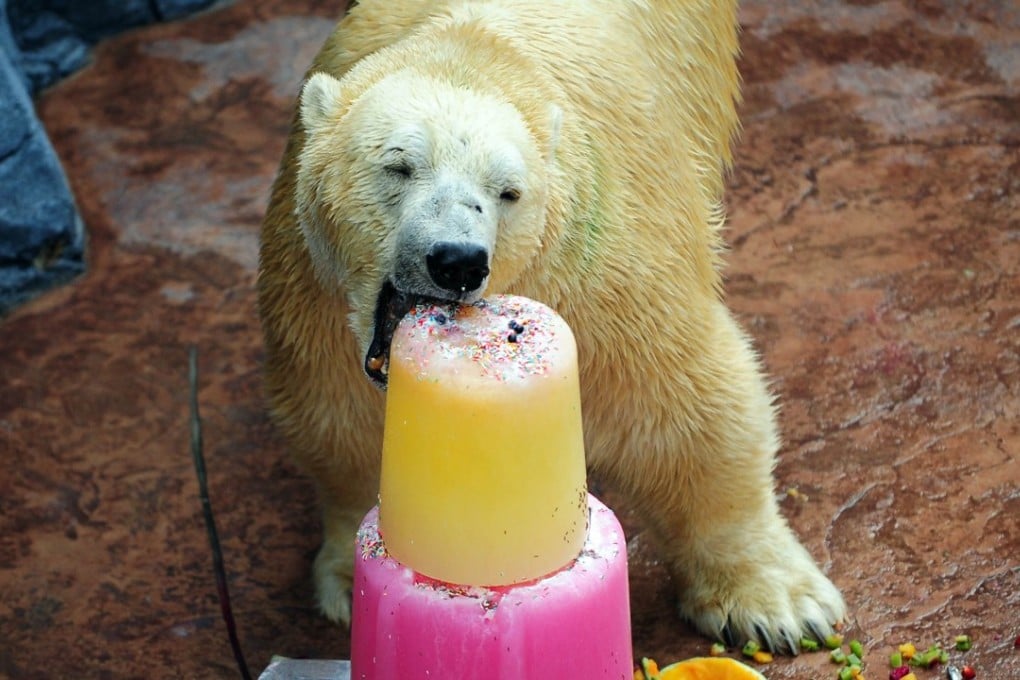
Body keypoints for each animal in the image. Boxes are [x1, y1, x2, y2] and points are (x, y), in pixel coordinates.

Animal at [258, 0, 846, 653]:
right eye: (398, 164)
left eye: (508, 193)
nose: (458, 260)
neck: (478, 54)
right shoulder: (312, 288)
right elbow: (337, 418)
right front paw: (347, 581)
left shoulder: (606, 274)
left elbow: (690, 405)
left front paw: (779, 605)